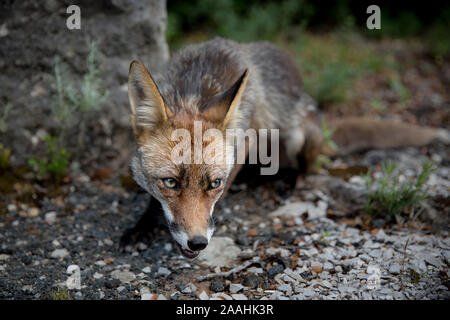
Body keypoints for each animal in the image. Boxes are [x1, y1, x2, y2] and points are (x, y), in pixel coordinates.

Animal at [121, 37, 448, 258]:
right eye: (170, 183)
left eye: (214, 184)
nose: (198, 242)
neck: (194, 86)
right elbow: (152, 200)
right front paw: (143, 225)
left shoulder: (246, 139)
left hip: (299, 136)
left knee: (307, 168)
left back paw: (288, 181)